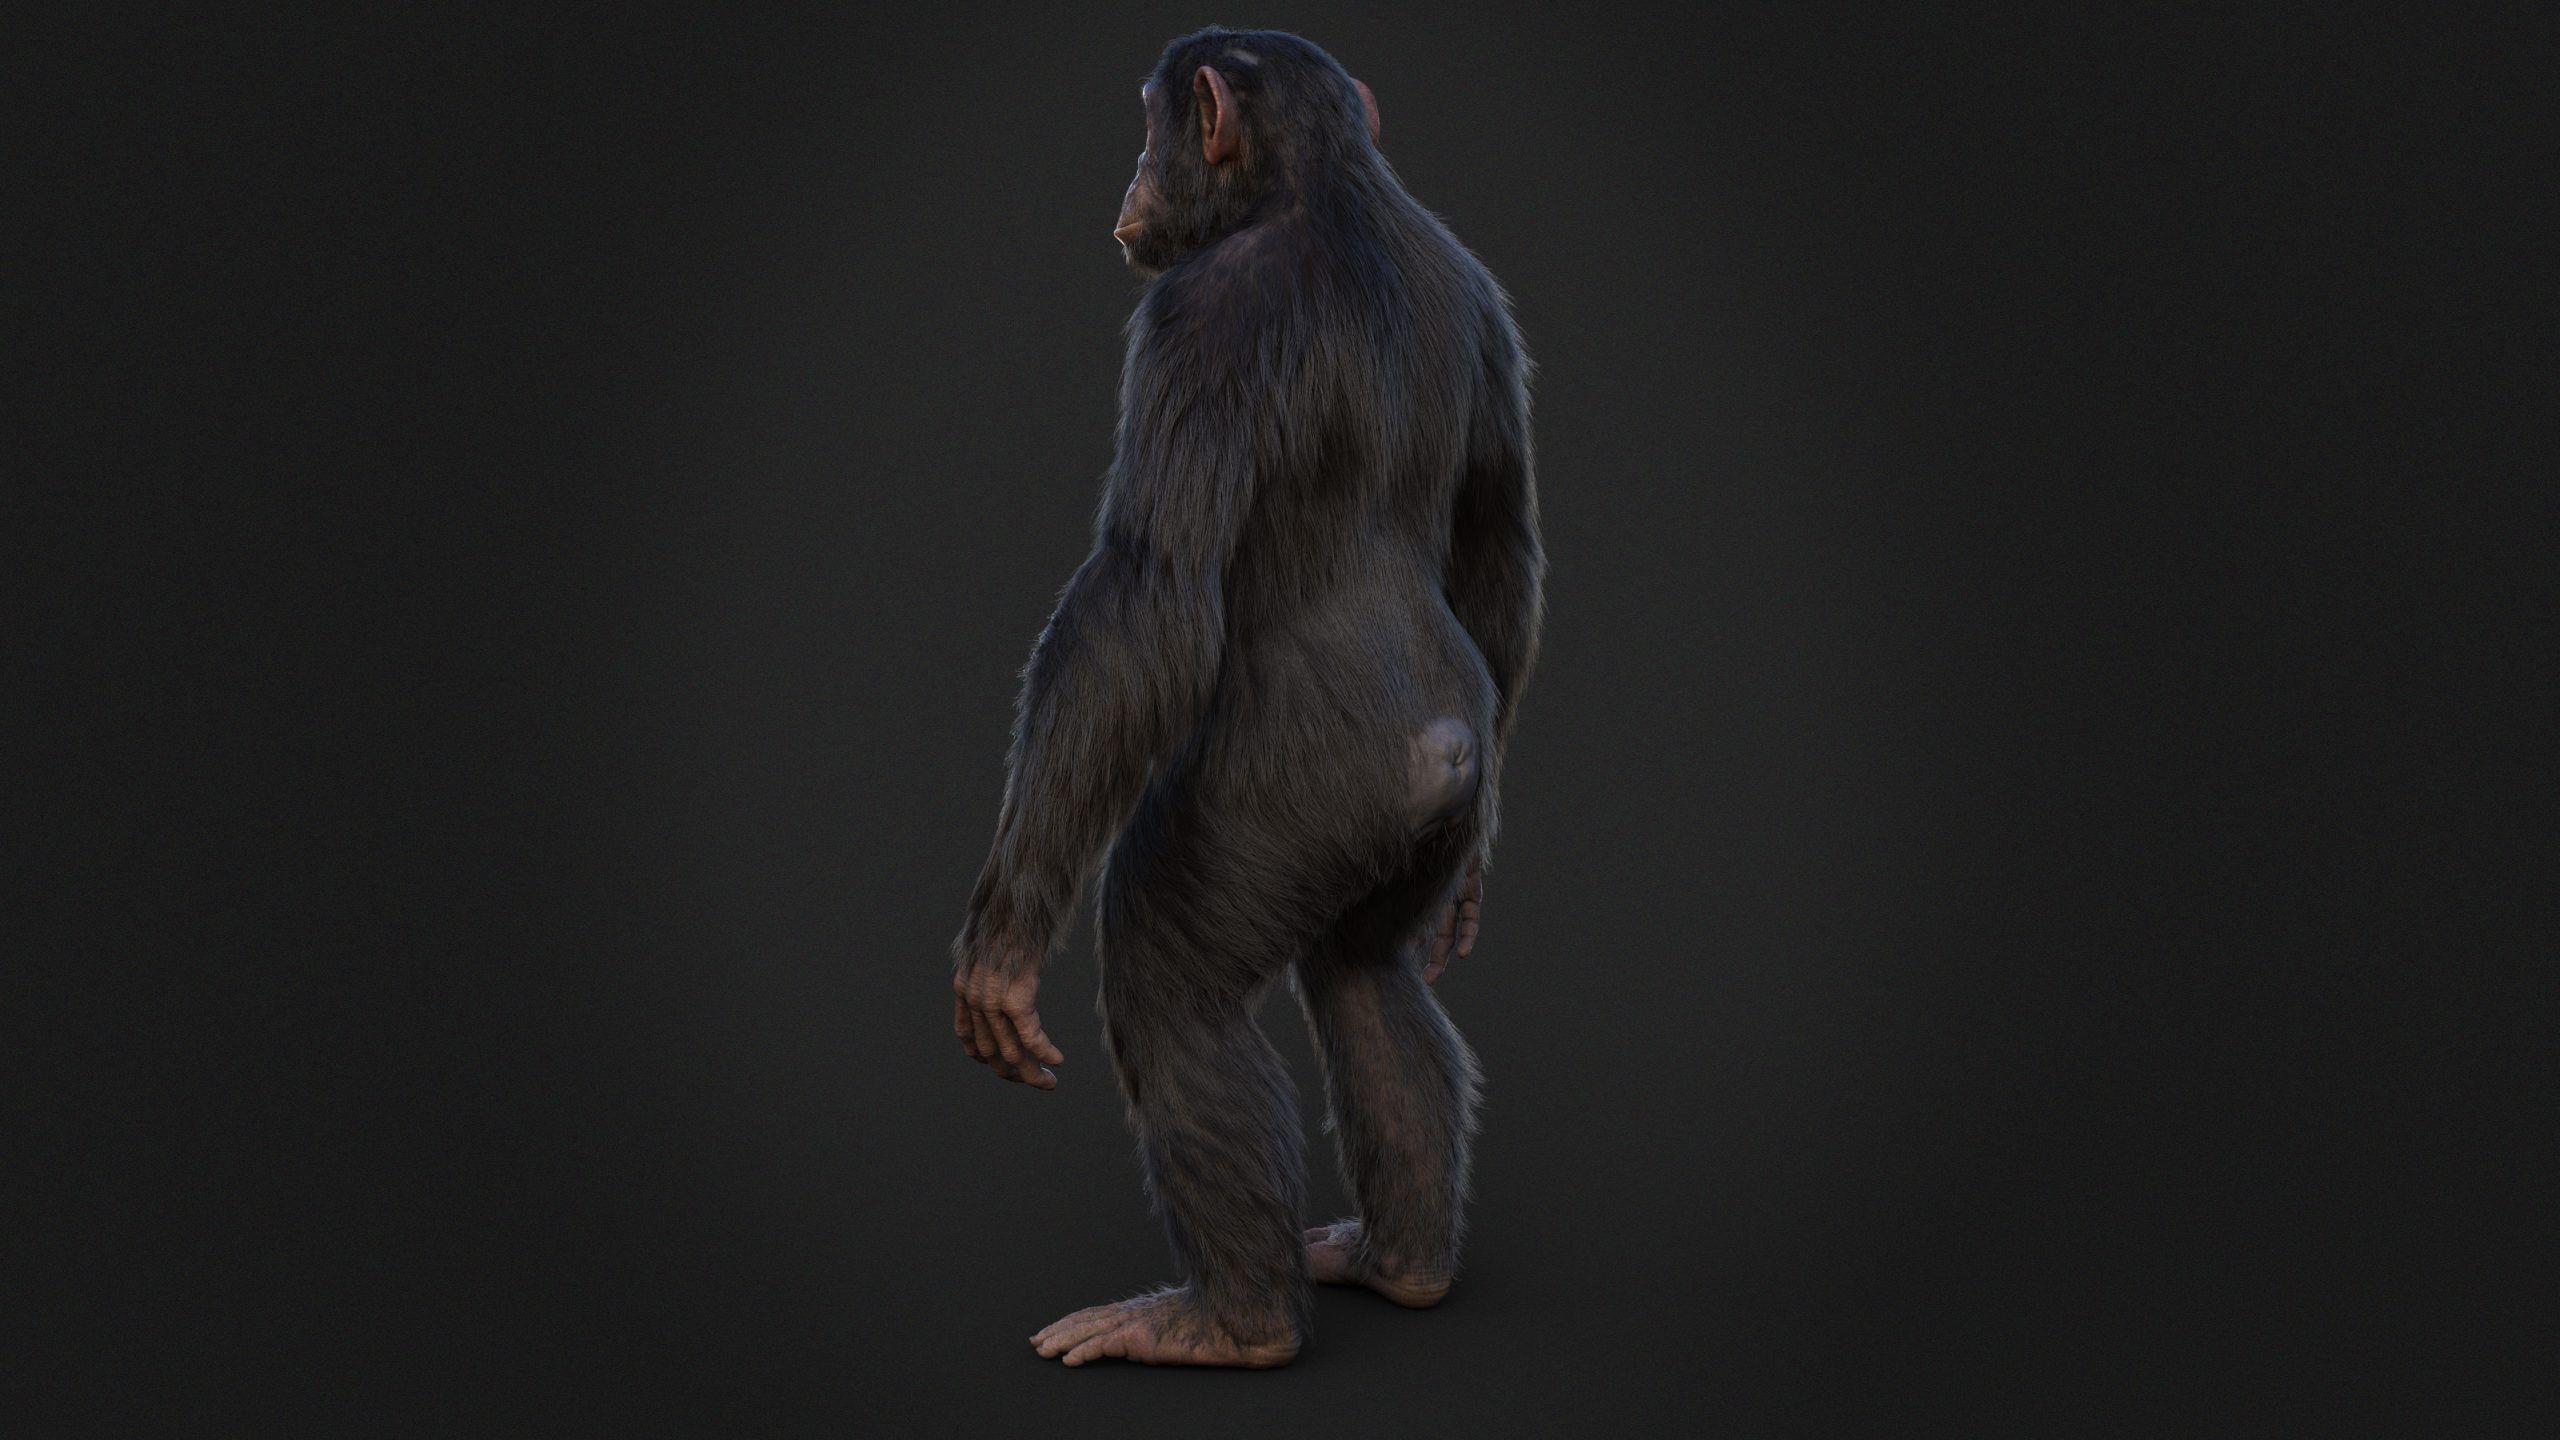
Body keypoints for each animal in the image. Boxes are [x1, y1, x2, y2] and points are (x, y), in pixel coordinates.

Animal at [948, 26, 1544, 1369]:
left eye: (1154, 123)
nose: (1130, 176)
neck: (1323, 189)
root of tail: (1441, 748)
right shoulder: (1492, 309)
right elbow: (1496, 531)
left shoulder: (1196, 316)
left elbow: (1147, 592)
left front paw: (999, 952)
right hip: (1410, 824)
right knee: (1367, 981)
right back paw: (1397, 1265)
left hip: (1280, 807)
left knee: (1172, 987)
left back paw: (1230, 1323)